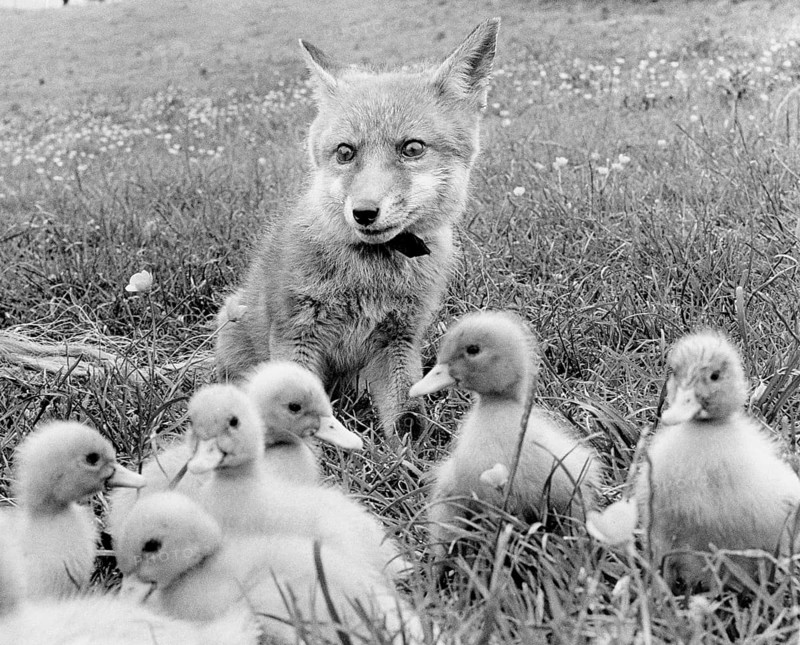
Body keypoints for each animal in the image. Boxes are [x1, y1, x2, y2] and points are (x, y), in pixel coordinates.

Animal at [214, 19, 500, 438]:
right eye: (345, 152)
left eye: (412, 149)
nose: (363, 212)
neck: (368, 276)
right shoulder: (296, 333)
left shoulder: (399, 340)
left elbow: (409, 421)